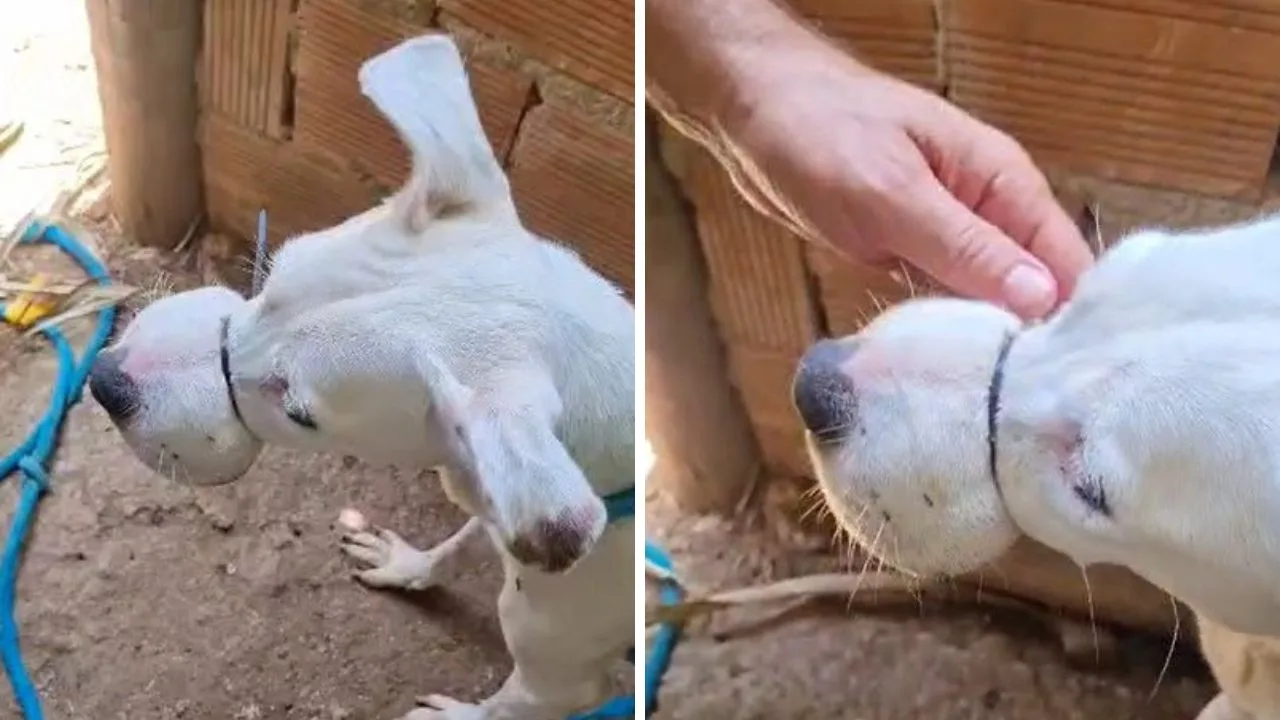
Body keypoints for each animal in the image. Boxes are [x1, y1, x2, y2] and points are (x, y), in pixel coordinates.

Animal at [85, 35, 634, 717]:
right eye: (270, 277)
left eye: (300, 414)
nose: (106, 383)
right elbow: (462, 540)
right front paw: (412, 565)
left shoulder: (554, 684)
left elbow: (506, 706)